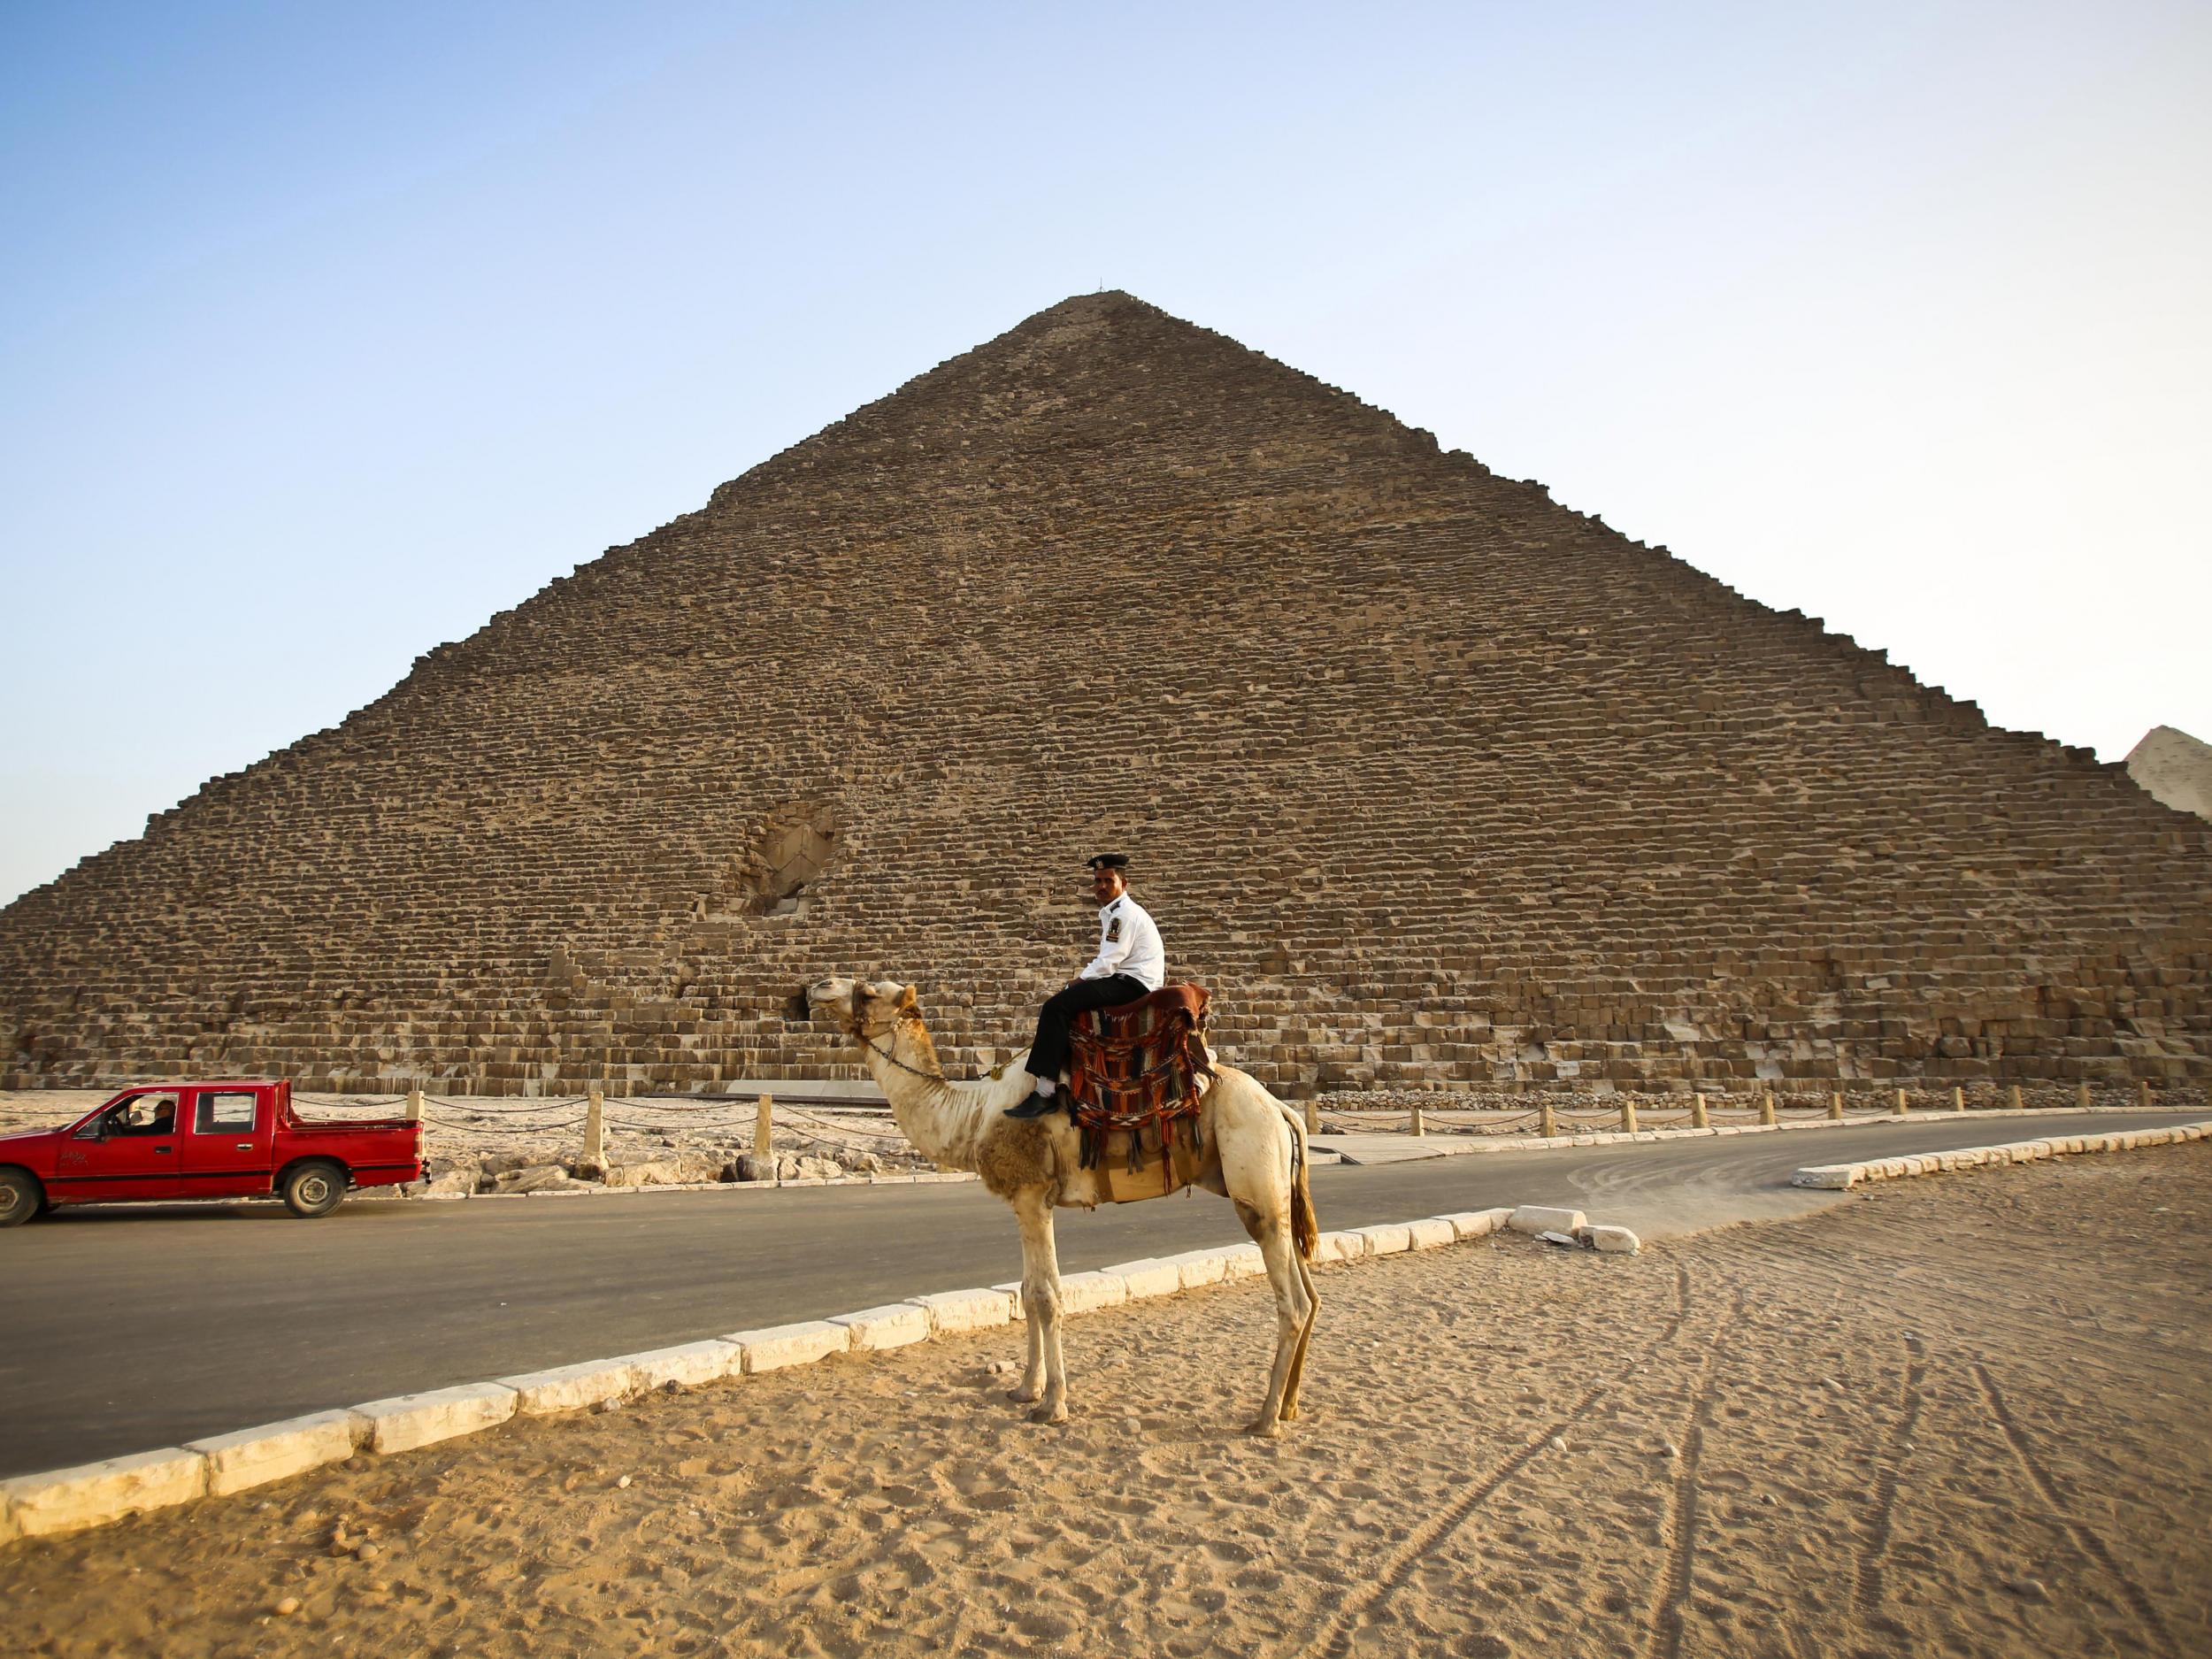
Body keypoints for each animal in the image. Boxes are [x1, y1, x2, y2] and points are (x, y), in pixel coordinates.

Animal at [805, 982, 1310, 1433]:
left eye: (869, 992)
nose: (816, 988)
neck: (974, 1112)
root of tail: (1284, 1111)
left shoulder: (1033, 1195)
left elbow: (1048, 1298)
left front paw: (1052, 1405)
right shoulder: (1024, 1202)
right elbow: (1027, 1293)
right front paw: (1025, 1388)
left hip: (1255, 1183)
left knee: (1293, 1301)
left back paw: (1266, 1419)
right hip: (1278, 1192)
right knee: (1311, 1290)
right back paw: (1289, 1406)